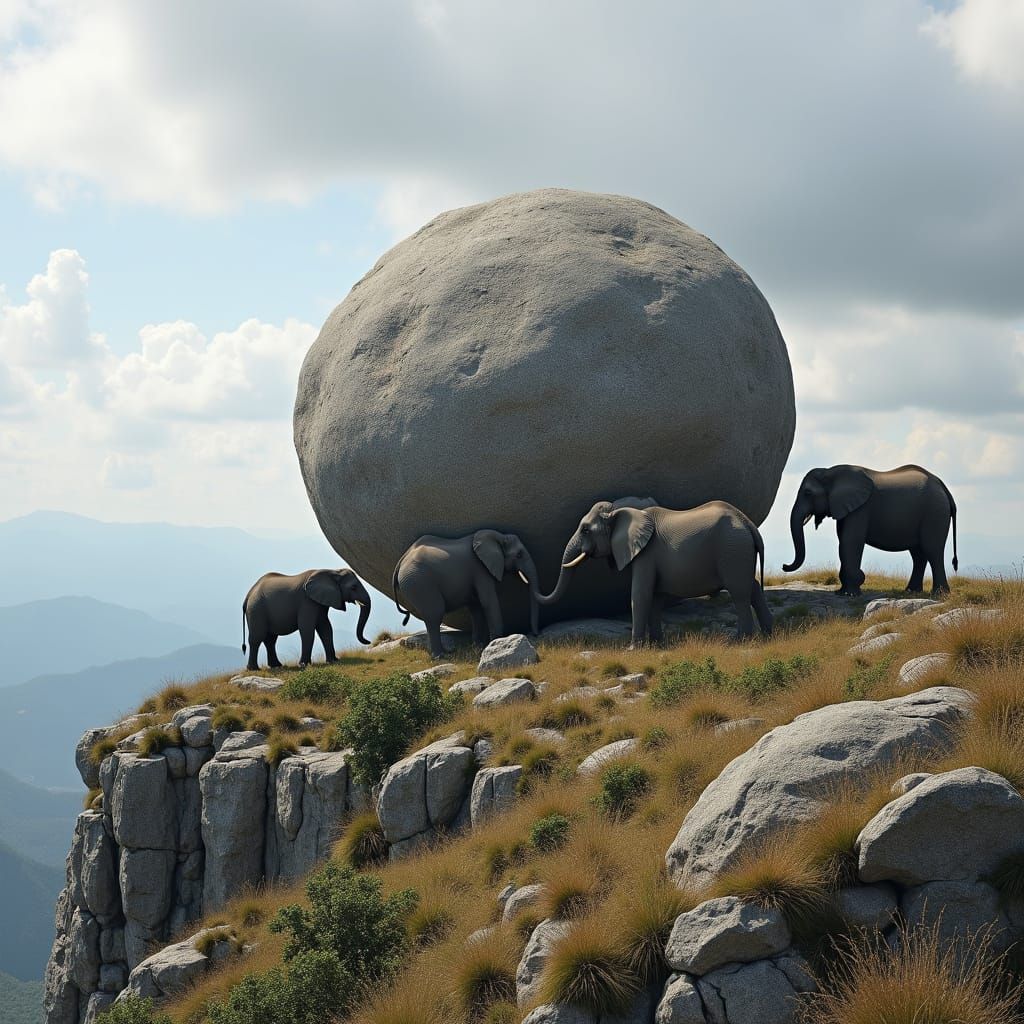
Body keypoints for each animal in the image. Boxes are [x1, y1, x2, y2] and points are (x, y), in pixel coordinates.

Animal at [242, 568, 371, 670]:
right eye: (353, 587)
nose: (368, 641)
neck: (333, 571)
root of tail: (248, 594)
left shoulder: (320, 601)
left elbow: (326, 627)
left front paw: (334, 661)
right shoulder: (307, 601)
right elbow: (307, 628)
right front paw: (303, 665)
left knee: (270, 640)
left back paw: (277, 666)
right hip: (256, 609)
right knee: (257, 638)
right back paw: (254, 669)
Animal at [392, 530, 540, 659]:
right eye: (519, 555)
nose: (535, 635)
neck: (499, 536)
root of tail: (400, 562)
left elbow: (475, 606)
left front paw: (478, 646)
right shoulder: (480, 569)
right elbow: (487, 600)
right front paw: (496, 641)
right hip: (419, 582)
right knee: (434, 614)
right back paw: (441, 656)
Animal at [535, 499, 771, 644]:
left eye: (585, 530)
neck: (620, 510)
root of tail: (748, 524)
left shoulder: (646, 553)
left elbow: (640, 594)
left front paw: (633, 649)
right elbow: (655, 597)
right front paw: (657, 645)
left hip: (732, 549)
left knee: (739, 592)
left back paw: (741, 640)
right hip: (739, 551)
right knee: (752, 588)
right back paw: (768, 635)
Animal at [782, 464, 958, 596]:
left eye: (807, 493)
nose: (784, 566)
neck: (830, 471)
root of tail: (942, 485)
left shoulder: (861, 508)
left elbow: (850, 541)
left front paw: (850, 593)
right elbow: (842, 541)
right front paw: (842, 592)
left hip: (935, 512)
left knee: (932, 550)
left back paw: (939, 594)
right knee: (918, 554)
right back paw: (911, 591)